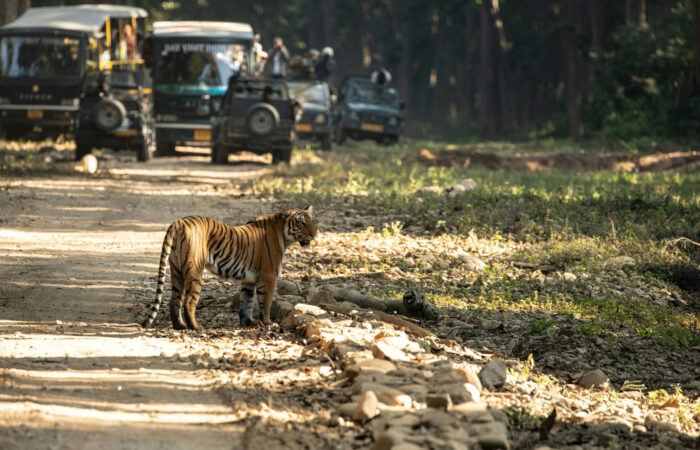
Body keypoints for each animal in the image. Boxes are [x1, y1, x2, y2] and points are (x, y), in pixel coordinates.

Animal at [141, 207, 316, 330]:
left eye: (311, 221)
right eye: (301, 222)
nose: (314, 234)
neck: (283, 235)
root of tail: (177, 223)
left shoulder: (249, 279)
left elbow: (247, 301)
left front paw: (248, 323)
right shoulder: (269, 275)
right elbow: (265, 302)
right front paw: (268, 323)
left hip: (176, 269)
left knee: (174, 300)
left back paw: (180, 326)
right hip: (194, 270)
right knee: (189, 301)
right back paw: (195, 327)